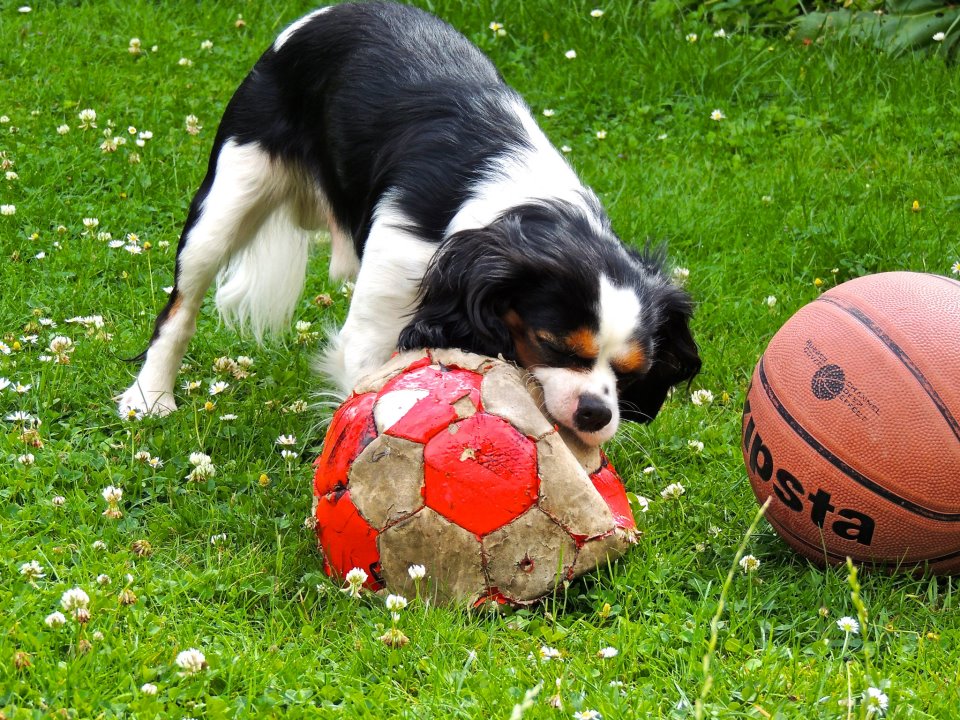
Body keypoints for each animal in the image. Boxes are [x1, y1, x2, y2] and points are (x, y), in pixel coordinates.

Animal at [122, 2, 704, 448]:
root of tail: (327, 12)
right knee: (180, 305)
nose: (596, 413)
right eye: (554, 345)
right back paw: (151, 396)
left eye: (631, 373)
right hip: (230, 192)